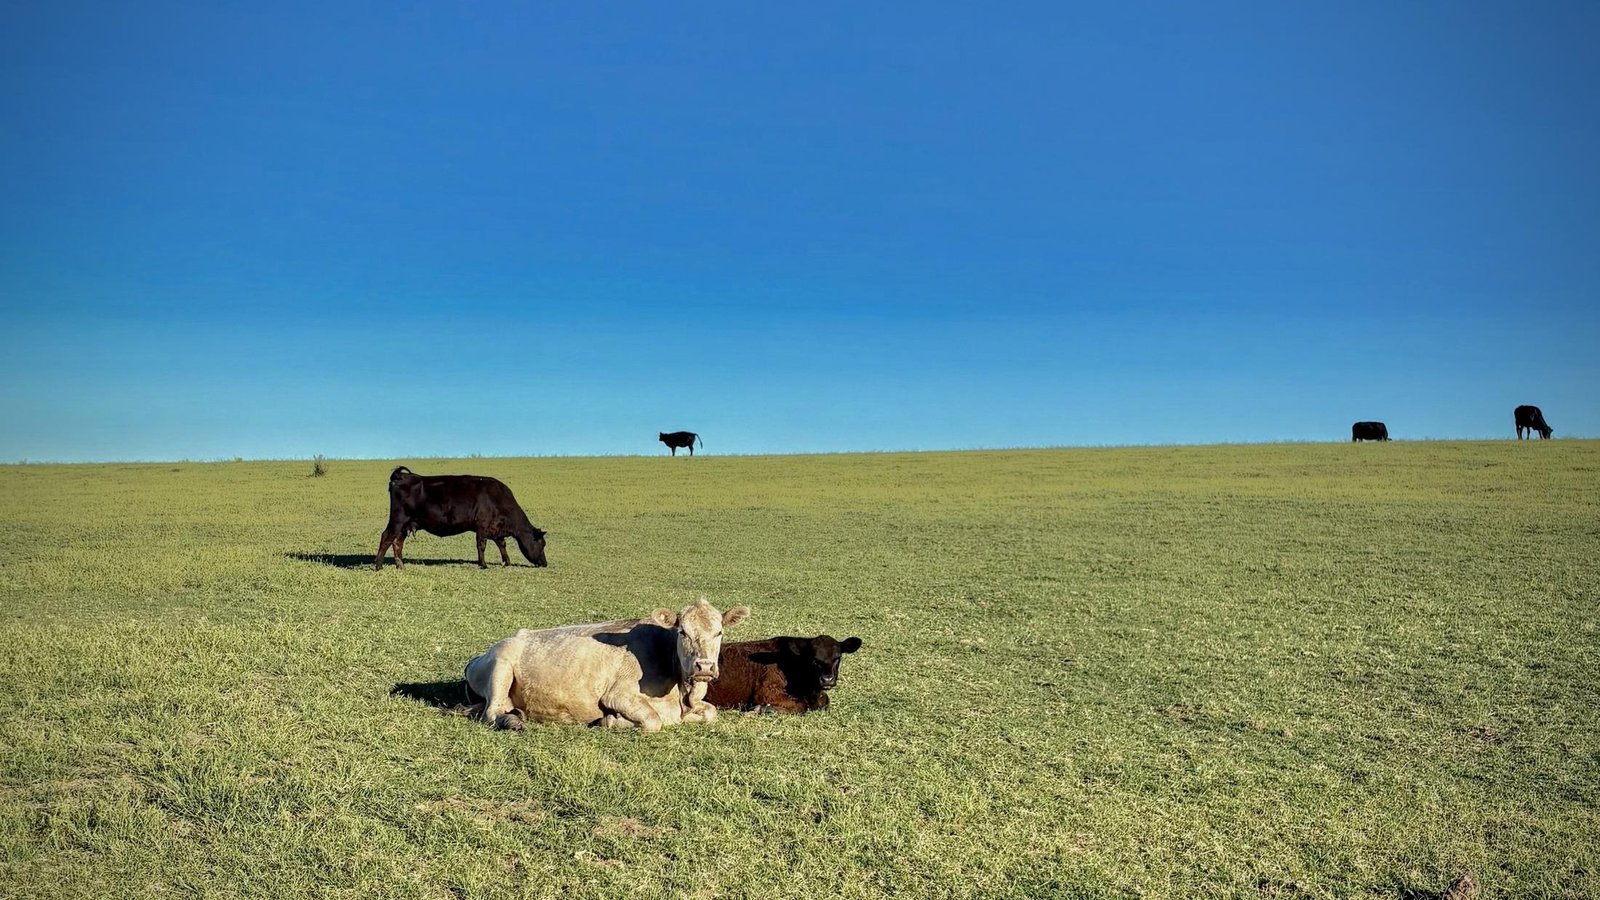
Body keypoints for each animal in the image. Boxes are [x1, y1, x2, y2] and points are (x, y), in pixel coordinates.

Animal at [376, 467, 548, 570]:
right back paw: (378, 566)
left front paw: (507, 562)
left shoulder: (495, 528)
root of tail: (402, 476)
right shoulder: (482, 527)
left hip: (406, 524)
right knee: (386, 537)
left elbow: (502, 544)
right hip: (397, 519)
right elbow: (482, 546)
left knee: (397, 542)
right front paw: (483, 565)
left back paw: (401, 566)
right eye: (542, 543)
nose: (545, 563)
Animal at [463, 598, 751, 732]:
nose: (704, 667)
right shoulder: (618, 695)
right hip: (501, 666)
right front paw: (611, 721)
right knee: (491, 712)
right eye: (683, 632)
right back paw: (513, 722)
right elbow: (653, 720)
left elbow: (711, 712)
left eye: (719, 633)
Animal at [704, 635, 862, 714]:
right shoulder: (767, 693)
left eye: (837, 657)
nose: (827, 679)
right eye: (813, 659)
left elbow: (825, 700)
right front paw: (761, 709)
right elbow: (801, 705)